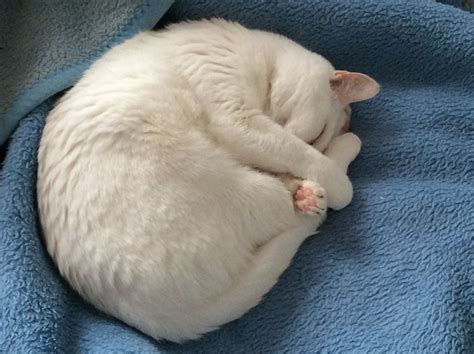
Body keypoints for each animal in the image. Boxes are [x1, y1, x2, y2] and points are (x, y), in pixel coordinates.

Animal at [36, 18, 378, 342]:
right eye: (317, 136)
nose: (297, 177)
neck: (261, 58)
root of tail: (140, 314)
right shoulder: (240, 121)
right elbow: (302, 155)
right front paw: (333, 180)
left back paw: (307, 193)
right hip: (246, 188)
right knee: (297, 210)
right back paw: (321, 183)